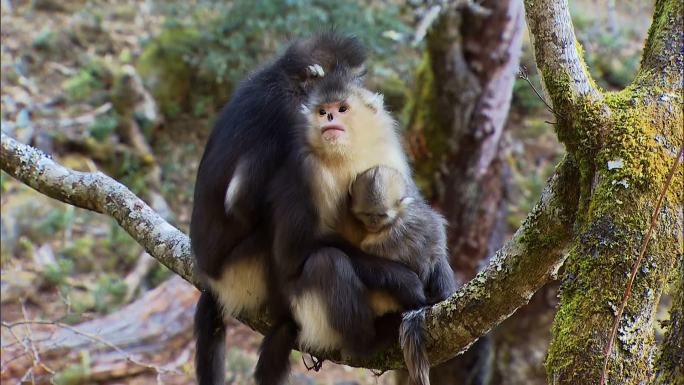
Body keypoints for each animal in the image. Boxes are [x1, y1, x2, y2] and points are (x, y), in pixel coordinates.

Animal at [192, 33, 424, 384]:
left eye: (344, 104)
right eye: (326, 107)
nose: (332, 115)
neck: (280, 77)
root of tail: (212, 277)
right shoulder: (289, 116)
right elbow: (247, 207)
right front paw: (403, 280)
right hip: (243, 272)